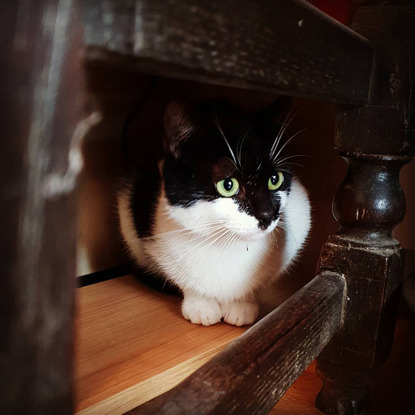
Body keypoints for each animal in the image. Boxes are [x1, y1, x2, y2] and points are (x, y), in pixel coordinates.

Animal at [118, 99, 310, 326]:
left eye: (275, 179)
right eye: (228, 185)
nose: (267, 215)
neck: (225, 243)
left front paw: (241, 304)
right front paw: (200, 305)